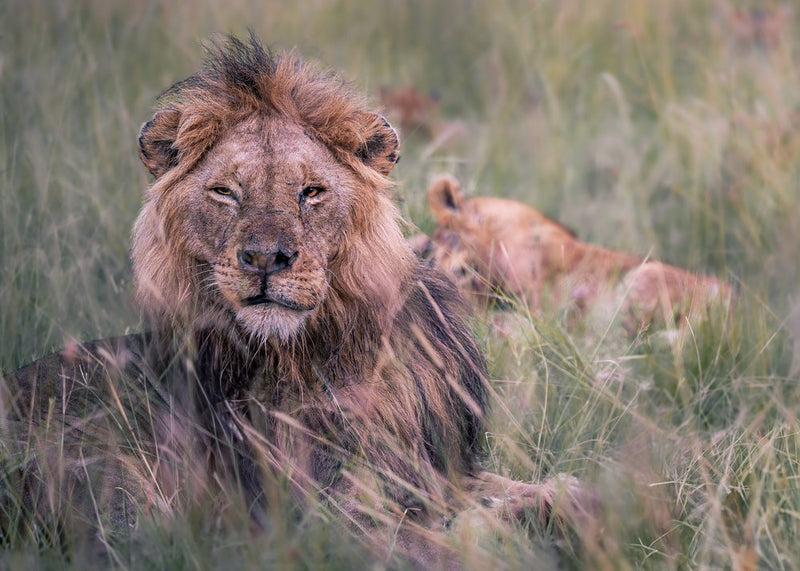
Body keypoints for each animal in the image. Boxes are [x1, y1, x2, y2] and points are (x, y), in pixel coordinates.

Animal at [2, 36, 592, 565]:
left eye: (311, 192)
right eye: (225, 192)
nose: (266, 258)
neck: (330, 349)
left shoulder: (439, 473)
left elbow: (559, 490)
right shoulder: (328, 516)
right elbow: (443, 548)